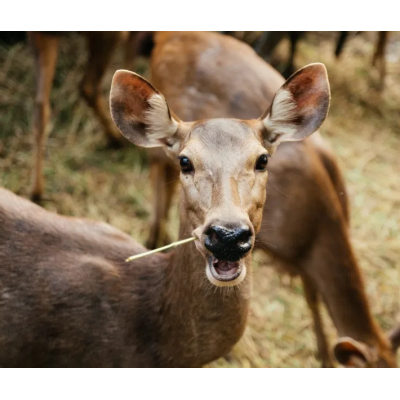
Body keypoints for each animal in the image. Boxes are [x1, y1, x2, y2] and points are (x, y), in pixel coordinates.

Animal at [28, 32, 138, 203]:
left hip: (43, 37)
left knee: (41, 106)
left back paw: (37, 191)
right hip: (107, 37)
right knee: (89, 86)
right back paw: (117, 139)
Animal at [138, 32, 396, 368]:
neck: (313, 225)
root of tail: (167, 37)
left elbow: (312, 294)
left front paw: (323, 353)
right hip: (161, 148)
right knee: (158, 181)